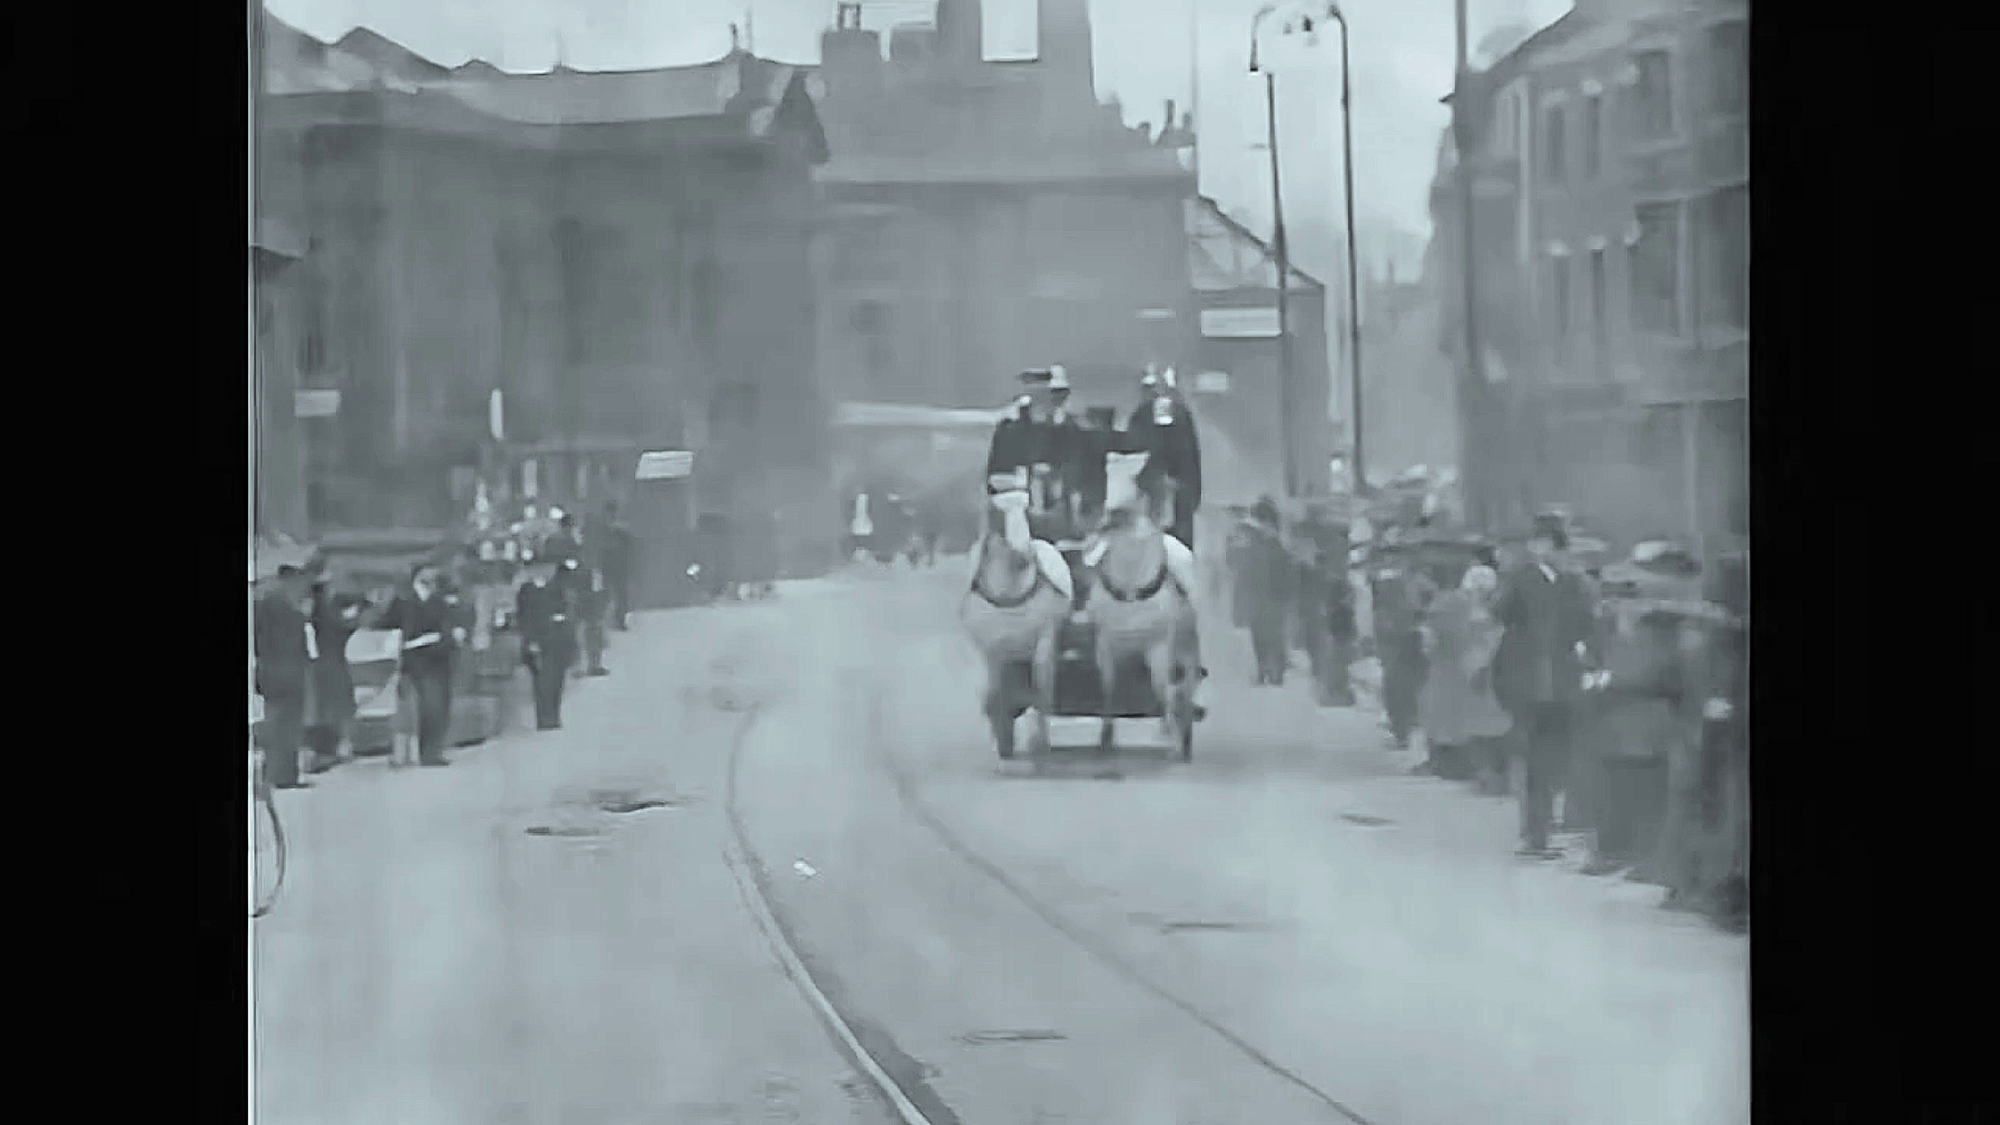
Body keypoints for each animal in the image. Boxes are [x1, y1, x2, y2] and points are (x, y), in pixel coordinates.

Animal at [956, 488, 1072, 756]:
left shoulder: (1045, 637)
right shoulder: (992, 648)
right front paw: (1003, 738)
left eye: (1027, 509)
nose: (1025, 554)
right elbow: (995, 693)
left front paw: (1039, 742)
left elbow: (1042, 686)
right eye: (997, 514)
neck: (1009, 591)